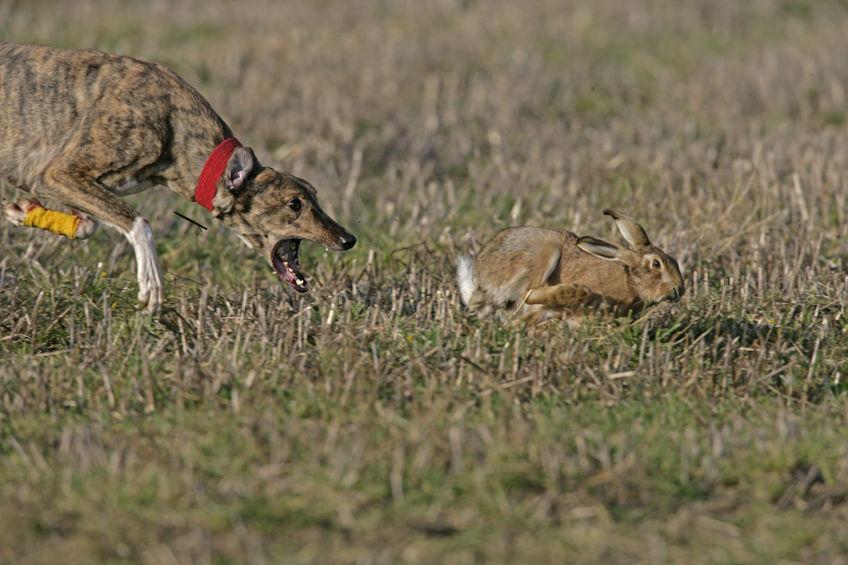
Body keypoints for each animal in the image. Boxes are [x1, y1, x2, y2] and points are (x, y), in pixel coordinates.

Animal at [0, 41, 354, 310]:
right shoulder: (59, 173)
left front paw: (26, 212)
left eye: (314, 194)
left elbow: (89, 225)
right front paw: (151, 285)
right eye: (294, 204)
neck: (175, 122)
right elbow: (139, 223)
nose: (349, 239)